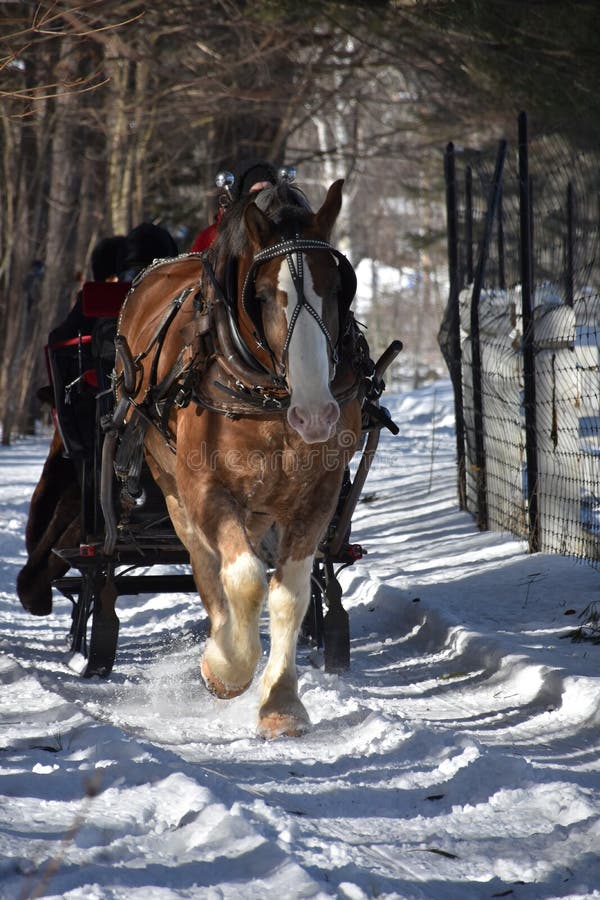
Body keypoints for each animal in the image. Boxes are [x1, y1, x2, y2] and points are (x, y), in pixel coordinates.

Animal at [115, 179, 364, 738]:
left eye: (337, 288)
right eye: (265, 296)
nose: (315, 415)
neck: (267, 397)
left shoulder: (318, 496)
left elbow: (289, 594)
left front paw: (282, 704)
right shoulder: (205, 489)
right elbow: (245, 580)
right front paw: (226, 668)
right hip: (173, 489)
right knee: (207, 566)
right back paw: (222, 642)